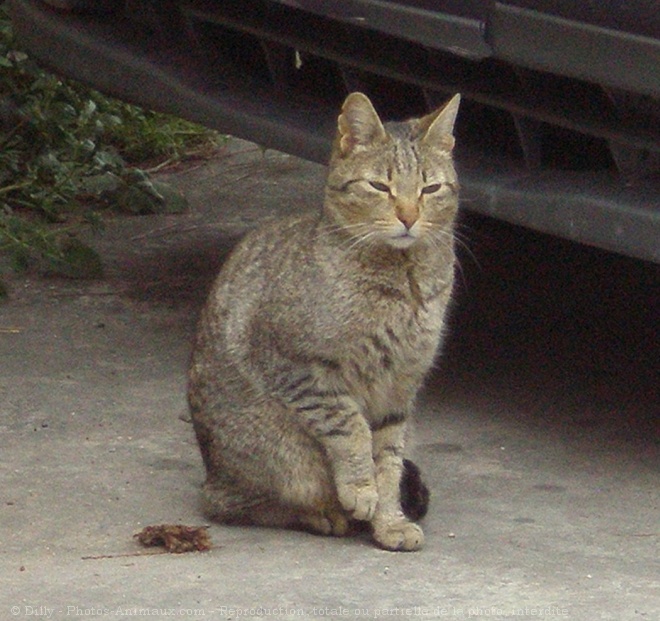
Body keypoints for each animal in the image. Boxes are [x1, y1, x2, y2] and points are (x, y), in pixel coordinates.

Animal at [188, 91, 462, 548]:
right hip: (278, 454)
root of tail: (211, 470)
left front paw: (389, 522)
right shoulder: (299, 368)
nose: (408, 216)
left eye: (431, 188)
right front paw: (360, 489)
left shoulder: (400, 388)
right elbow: (351, 428)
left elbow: (389, 458)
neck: (403, 279)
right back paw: (322, 515)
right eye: (380, 186)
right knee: (228, 503)